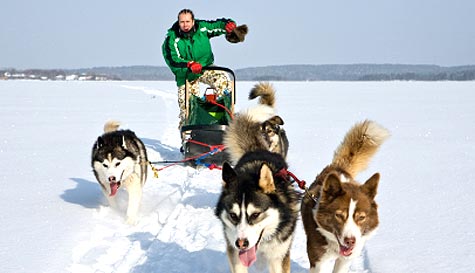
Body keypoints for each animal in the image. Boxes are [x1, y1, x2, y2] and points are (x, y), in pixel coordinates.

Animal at [304, 120, 388, 270]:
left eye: (361, 217)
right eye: (339, 215)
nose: (350, 241)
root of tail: (338, 167)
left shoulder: (346, 259)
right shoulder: (317, 259)